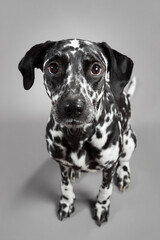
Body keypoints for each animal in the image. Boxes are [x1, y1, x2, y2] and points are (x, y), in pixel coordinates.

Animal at [18, 38, 136, 226]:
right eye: (53, 67)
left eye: (96, 68)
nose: (73, 107)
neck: (79, 136)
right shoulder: (61, 163)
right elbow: (65, 185)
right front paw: (67, 203)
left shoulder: (109, 166)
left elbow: (105, 189)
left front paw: (102, 206)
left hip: (129, 140)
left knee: (124, 159)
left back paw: (123, 174)